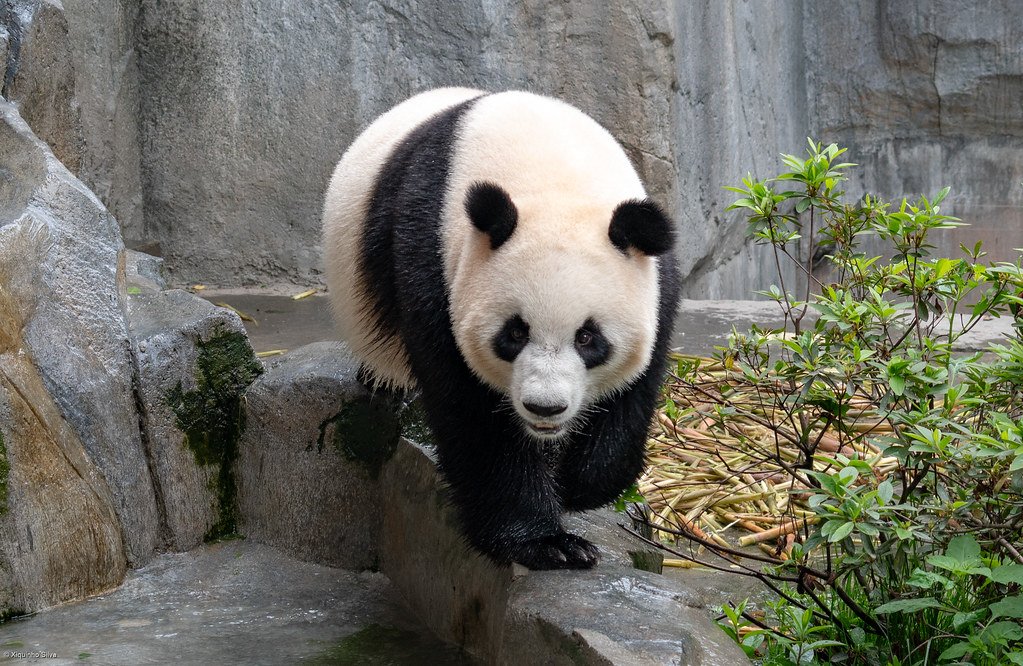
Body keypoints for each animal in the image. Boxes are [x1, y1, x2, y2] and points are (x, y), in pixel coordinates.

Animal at [322, 88, 680, 570]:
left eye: (588, 338)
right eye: (515, 333)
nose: (545, 407)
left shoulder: (656, 280)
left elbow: (634, 388)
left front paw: (578, 485)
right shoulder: (434, 256)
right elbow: (472, 411)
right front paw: (546, 543)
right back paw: (382, 380)